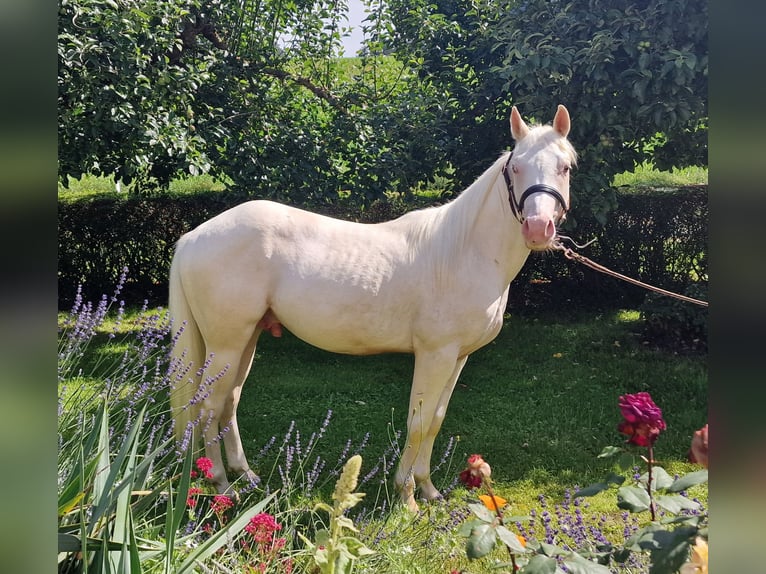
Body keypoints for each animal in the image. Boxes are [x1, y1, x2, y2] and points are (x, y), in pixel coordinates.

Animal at [168, 104, 576, 512]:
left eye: (565, 167)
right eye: (516, 167)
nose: (538, 228)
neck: (462, 252)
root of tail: (193, 237)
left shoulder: (458, 357)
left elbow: (436, 419)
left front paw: (428, 489)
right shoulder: (435, 354)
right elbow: (418, 423)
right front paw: (407, 497)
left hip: (248, 338)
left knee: (229, 402)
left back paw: (246, 476)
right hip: (226, 345)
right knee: (207, 407)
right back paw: (222, 486)